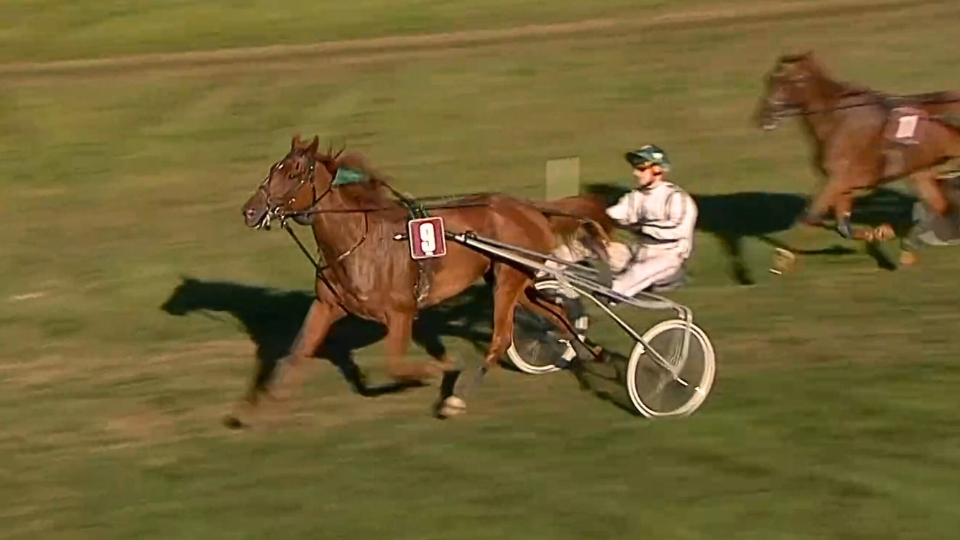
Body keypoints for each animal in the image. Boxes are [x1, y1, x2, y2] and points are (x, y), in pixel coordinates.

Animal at [232, 134, 612, 426]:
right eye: (274, 169)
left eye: (294, 173)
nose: (250, 211)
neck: (358, 240)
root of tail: (531, 207)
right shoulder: (326, 306)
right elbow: (295, 354)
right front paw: (255, 407)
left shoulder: (400, 313)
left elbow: (397, 367)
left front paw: (443, 368)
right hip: (514, 280)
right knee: (556, 315)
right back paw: (592, 351)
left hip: (508, 279)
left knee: (501, 337)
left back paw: (457, 399)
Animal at [754, 50, 960, 269]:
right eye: (770, 80)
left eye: (790, 81)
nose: (764, 117)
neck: (837, 120)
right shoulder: (842, 184)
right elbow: (843, 226)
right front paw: (878, 235)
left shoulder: (839, 180)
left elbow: (808, 217)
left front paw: (783, 258)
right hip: (922, 171)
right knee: (940, 205)